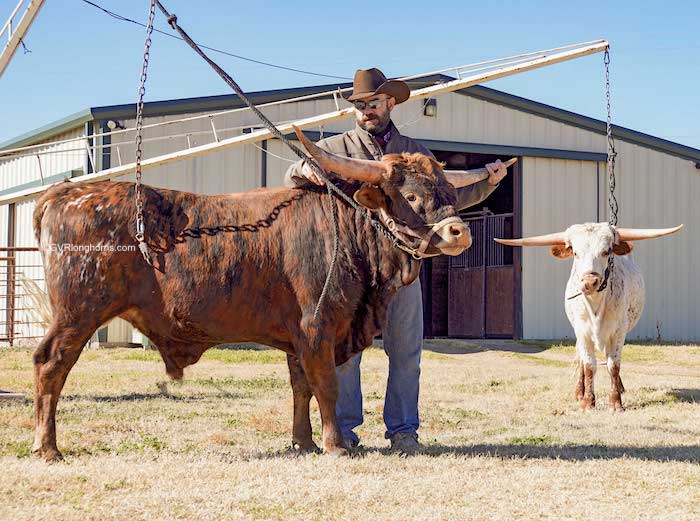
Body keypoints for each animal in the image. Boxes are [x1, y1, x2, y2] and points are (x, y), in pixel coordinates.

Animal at [498, 223, 684, 410]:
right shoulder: (582, 332)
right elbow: (588, 365)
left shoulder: (618, 332)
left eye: (607, 251)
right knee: (582, 360)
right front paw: (587, 401)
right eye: (575, 253)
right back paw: (579, 392)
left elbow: (613, 365)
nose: (589, 282)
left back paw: (620, 387)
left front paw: (615, 402)